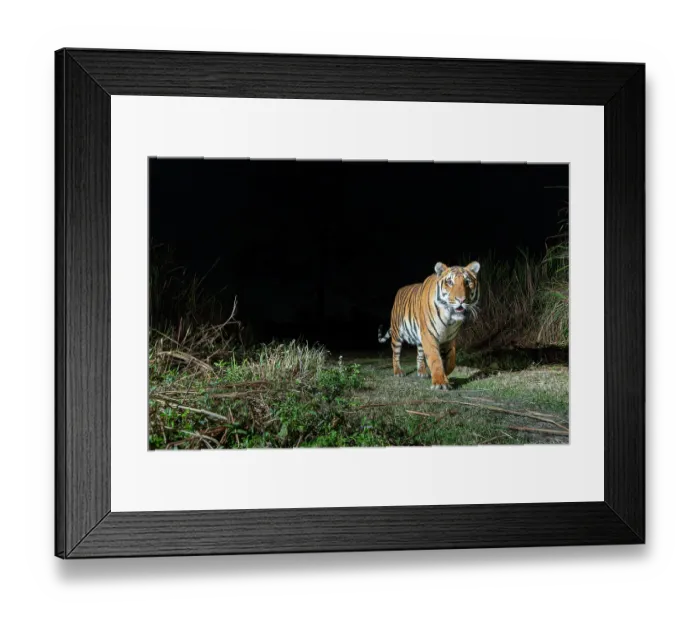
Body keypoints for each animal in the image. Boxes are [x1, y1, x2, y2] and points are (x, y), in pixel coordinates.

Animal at [378, 261, 480, 390]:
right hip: (397, 334)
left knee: (419, 355)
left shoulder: (450, 339)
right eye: (449, 282)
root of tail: (400, 290)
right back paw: (398, 372)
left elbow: (451, 361)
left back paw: (422, 372)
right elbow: (435, 359)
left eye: (467, 282)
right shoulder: (429, 335)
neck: (449, 319)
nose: (461, 300)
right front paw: (440, 382)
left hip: (419, 339)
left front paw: (446, 375)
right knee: (395, 354)